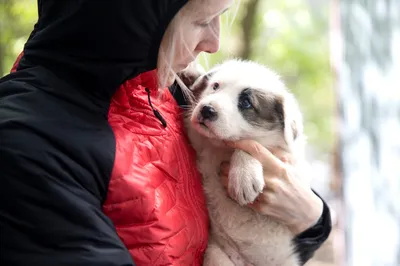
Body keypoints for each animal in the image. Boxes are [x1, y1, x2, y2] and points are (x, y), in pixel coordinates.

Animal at [177, 59, 310, 266]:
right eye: (215, 86)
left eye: (246, 103)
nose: (206, 109)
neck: (220, 147)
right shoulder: (199, 141)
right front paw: (191, 73)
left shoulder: (289, 158)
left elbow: (250, 146)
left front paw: (244, 177)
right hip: (217, 254)